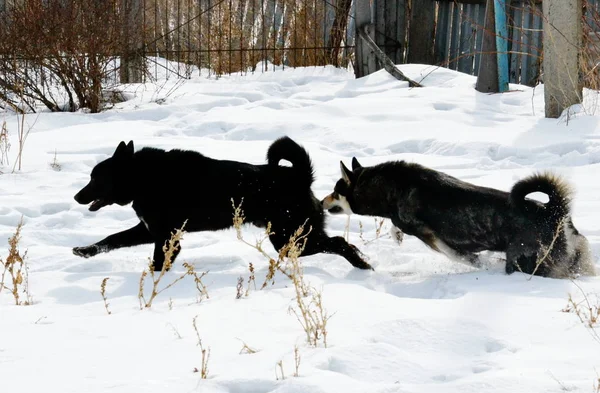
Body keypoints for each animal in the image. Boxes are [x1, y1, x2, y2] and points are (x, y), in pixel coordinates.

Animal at [70, 137, 370, 270]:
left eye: (95, 178)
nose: (76, 197)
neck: (144, 177)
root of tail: (299, 176)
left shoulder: (165, 237)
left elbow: (157, 263)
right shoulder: (149, 230)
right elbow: (112, 239)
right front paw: (85, 251)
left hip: (290, 239)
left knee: (339, 243)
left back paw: (362, 266)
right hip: (291, 238)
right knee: (339, 242)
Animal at [322, 157, 592, 278]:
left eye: (335, 191)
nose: (322, 202)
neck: (392, 189)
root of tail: (555, 212)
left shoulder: (430, 236)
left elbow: (460, 256)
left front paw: (479, 264)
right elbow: (393, 227)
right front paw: (396, 236)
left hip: (528, 261)